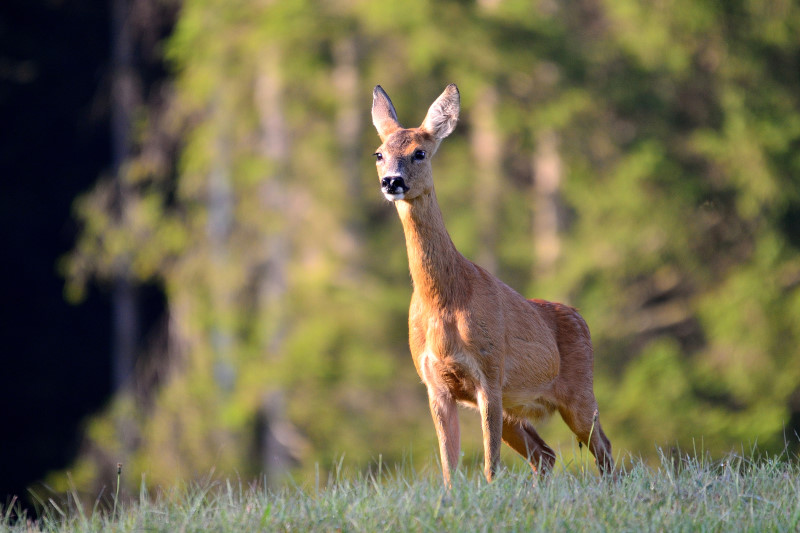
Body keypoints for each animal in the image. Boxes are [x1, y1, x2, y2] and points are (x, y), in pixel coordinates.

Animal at [372, 84, 616, 486]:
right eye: (379, 153)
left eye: (419, 152)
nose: (392, 181)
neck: (445, 301)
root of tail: (580, 316)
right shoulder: (435, 382)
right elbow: (449, 466)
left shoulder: (489, 372)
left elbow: (490, 466)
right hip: (518, 409)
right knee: (545, 454)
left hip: (579, 391)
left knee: (603, 448)